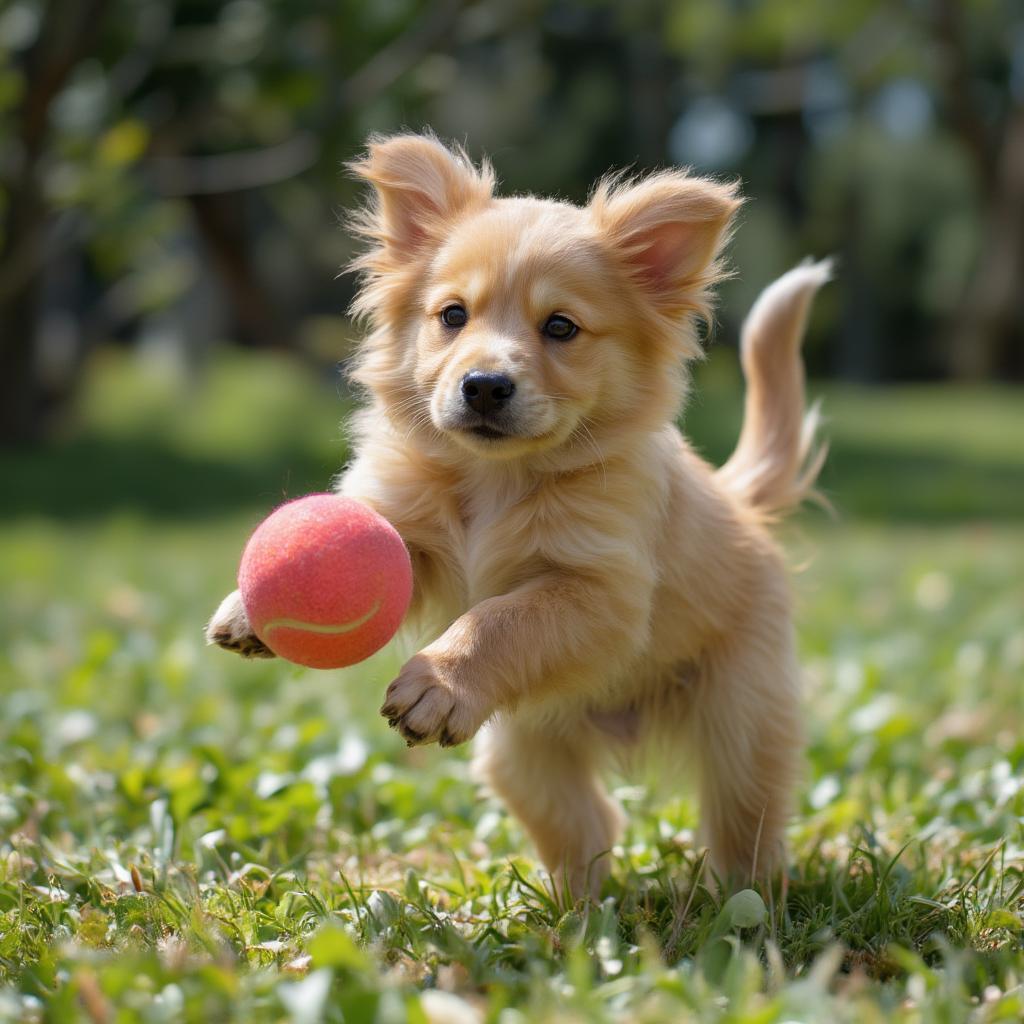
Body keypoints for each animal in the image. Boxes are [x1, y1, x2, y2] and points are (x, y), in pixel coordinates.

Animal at [203, 134, 827, 897]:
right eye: (453, 316)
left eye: (561, 327)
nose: (483, 386)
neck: (496, 478)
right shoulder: (413, 533)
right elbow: (374, 540)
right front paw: (251, 605)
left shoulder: (600, 592)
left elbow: (500, 618)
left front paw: (438, 683)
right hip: (520, 754)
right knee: (588, 825)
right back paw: (578, 912)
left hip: (743, 726)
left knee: (746, 829)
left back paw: (744, 904)